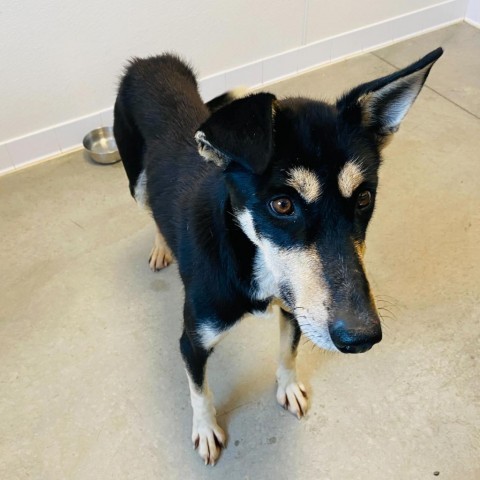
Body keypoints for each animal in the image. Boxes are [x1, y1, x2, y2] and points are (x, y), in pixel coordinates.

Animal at [112, 47, 442, 464]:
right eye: (282, 205)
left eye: (364, 198)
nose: (361, 338)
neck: (251, 259)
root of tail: (149, 59)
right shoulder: (193, 341)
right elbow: (200, 391)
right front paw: (205, 429)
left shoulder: (296, 310)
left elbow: (288, 352)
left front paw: (287, 386)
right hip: (136, 181)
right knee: (149, 207)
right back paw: (160, 246)